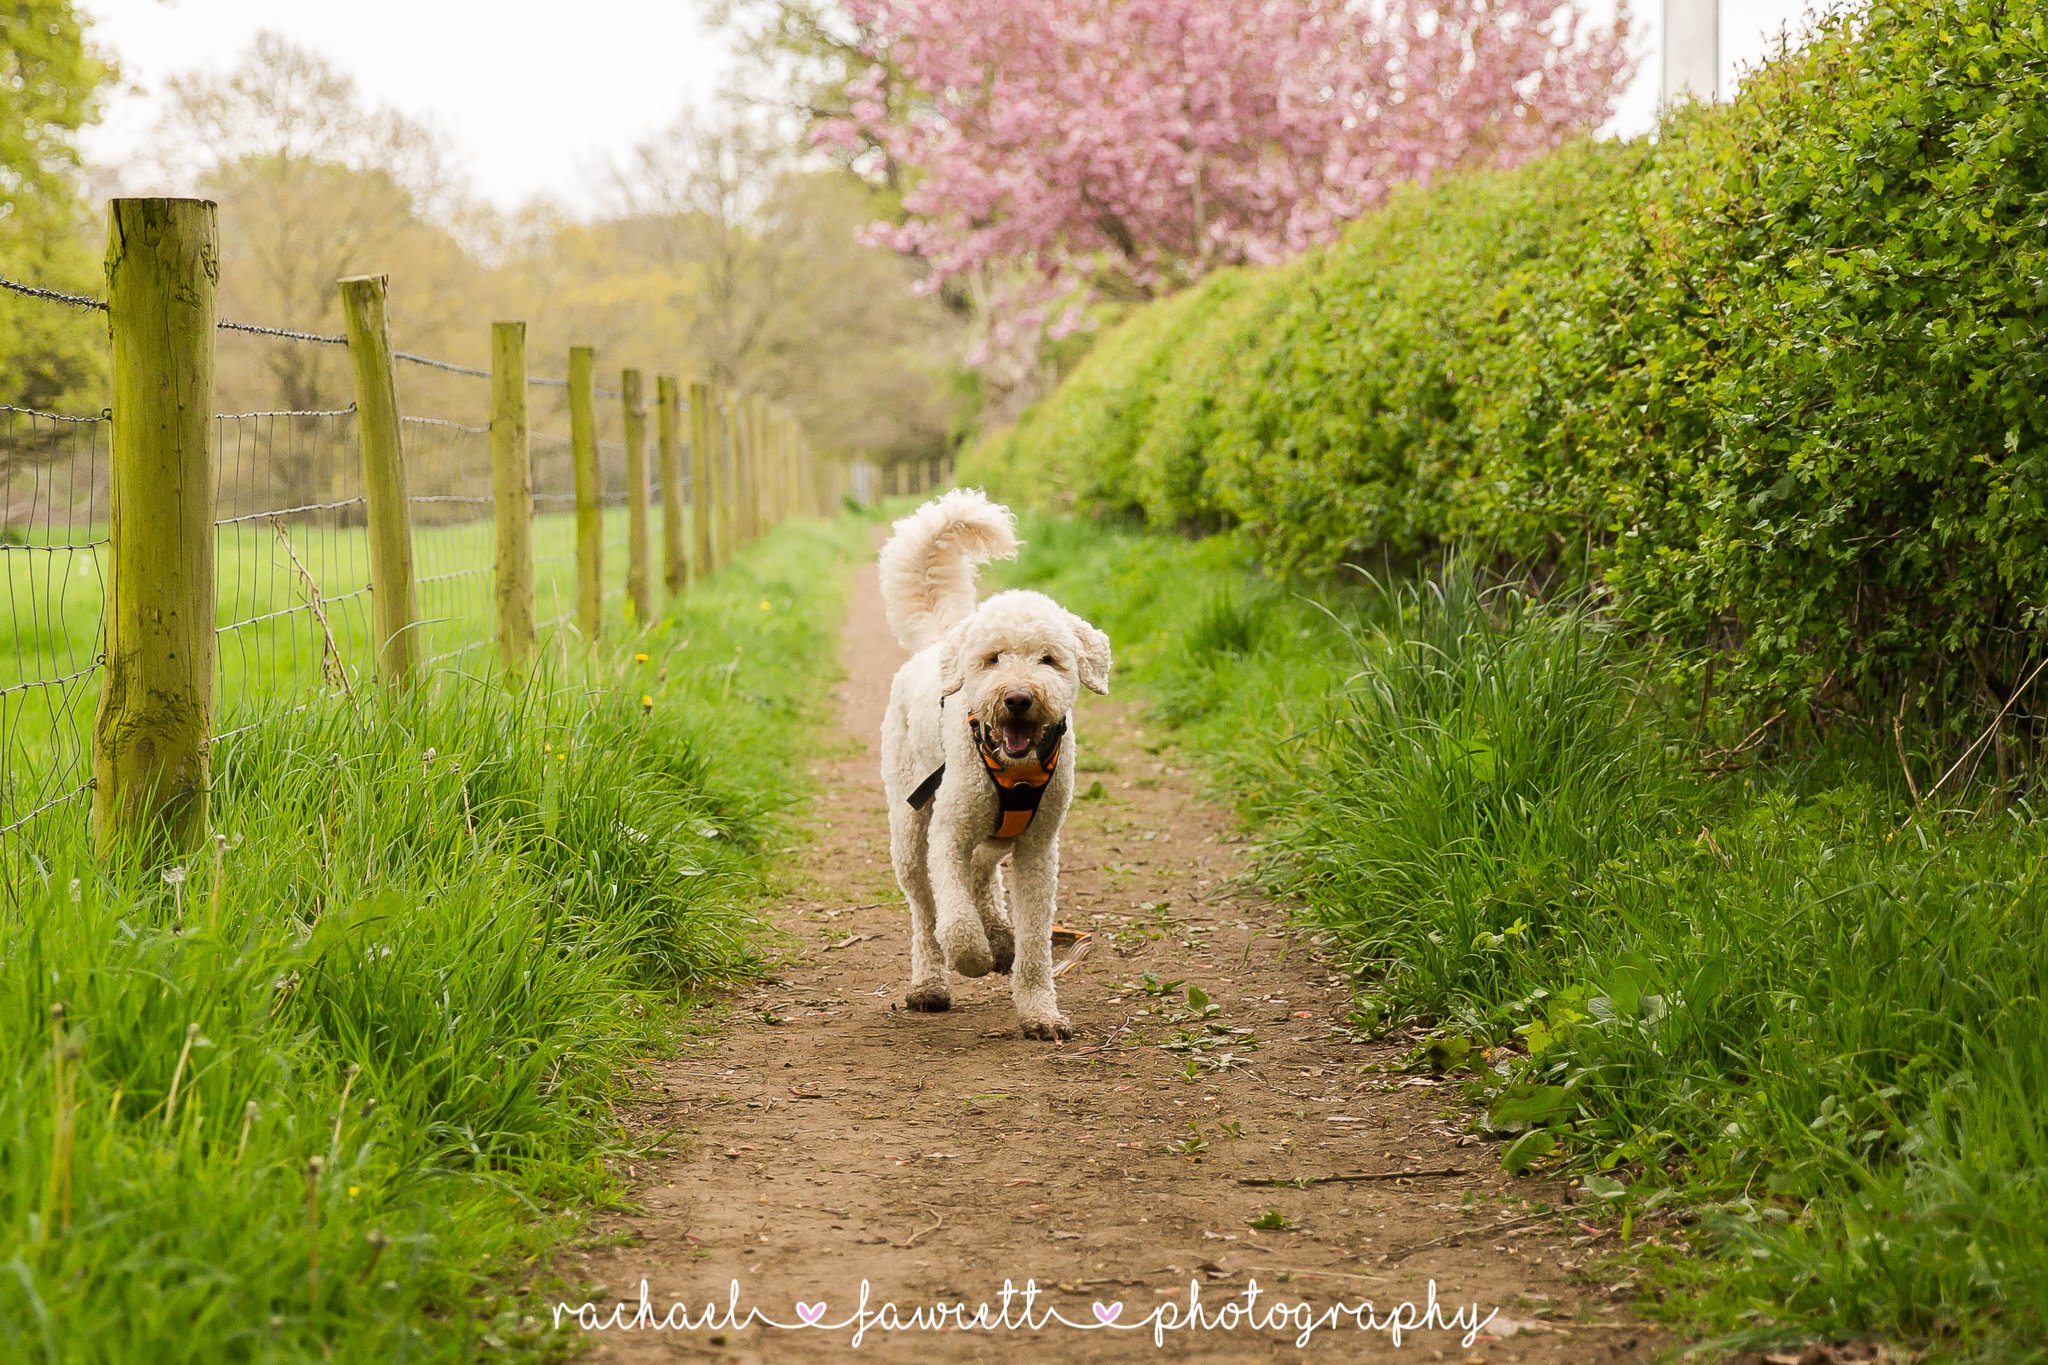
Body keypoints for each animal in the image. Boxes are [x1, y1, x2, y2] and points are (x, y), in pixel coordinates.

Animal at [872, 497, 1114, 1039]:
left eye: (1048, 659)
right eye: (993, 658)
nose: (1019, 698)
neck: (1016, 768)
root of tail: (937, 645)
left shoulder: (1038, 849)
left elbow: (1036, 942)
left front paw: (1039, 1011)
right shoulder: (948, 834)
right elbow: (956, 921)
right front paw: (974, 958)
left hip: (995, 834)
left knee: (983, 871)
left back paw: (1000, 934)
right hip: (910, 830)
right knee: (926, 914)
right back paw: (932, 982)